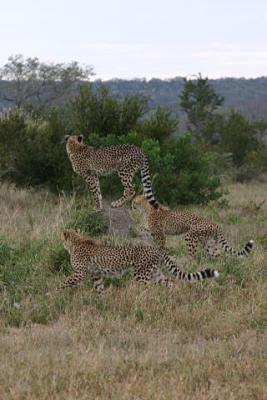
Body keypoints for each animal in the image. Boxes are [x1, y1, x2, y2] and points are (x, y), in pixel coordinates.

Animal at [57, 230, 220, 292]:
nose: (61, 242)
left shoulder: (79, 273)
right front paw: (102, 300)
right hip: (155, 273)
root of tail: (156, 248)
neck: (76, 241)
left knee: (147, 289)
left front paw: (54, 293)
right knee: (171, 283)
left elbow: (64, 282)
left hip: (141, 274)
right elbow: (99, 287)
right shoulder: (95, 273)